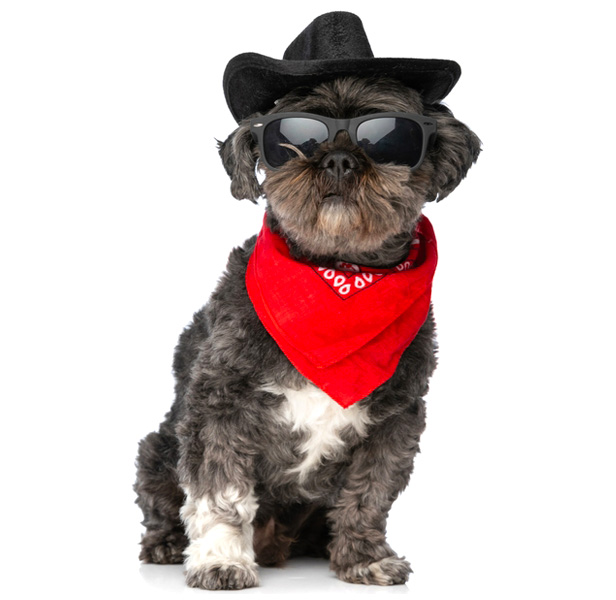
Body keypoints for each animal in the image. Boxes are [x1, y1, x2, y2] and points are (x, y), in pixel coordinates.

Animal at [135, 11, 482, 592]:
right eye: (295, 134)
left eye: (387, 134)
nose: (339, 159)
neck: (340, 274)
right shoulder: (219, 403)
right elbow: (220, 490)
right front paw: (221, 559)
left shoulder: (397, 418)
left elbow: (368, 496)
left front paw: (365, 556)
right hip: (157, 447)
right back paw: (165, 544)